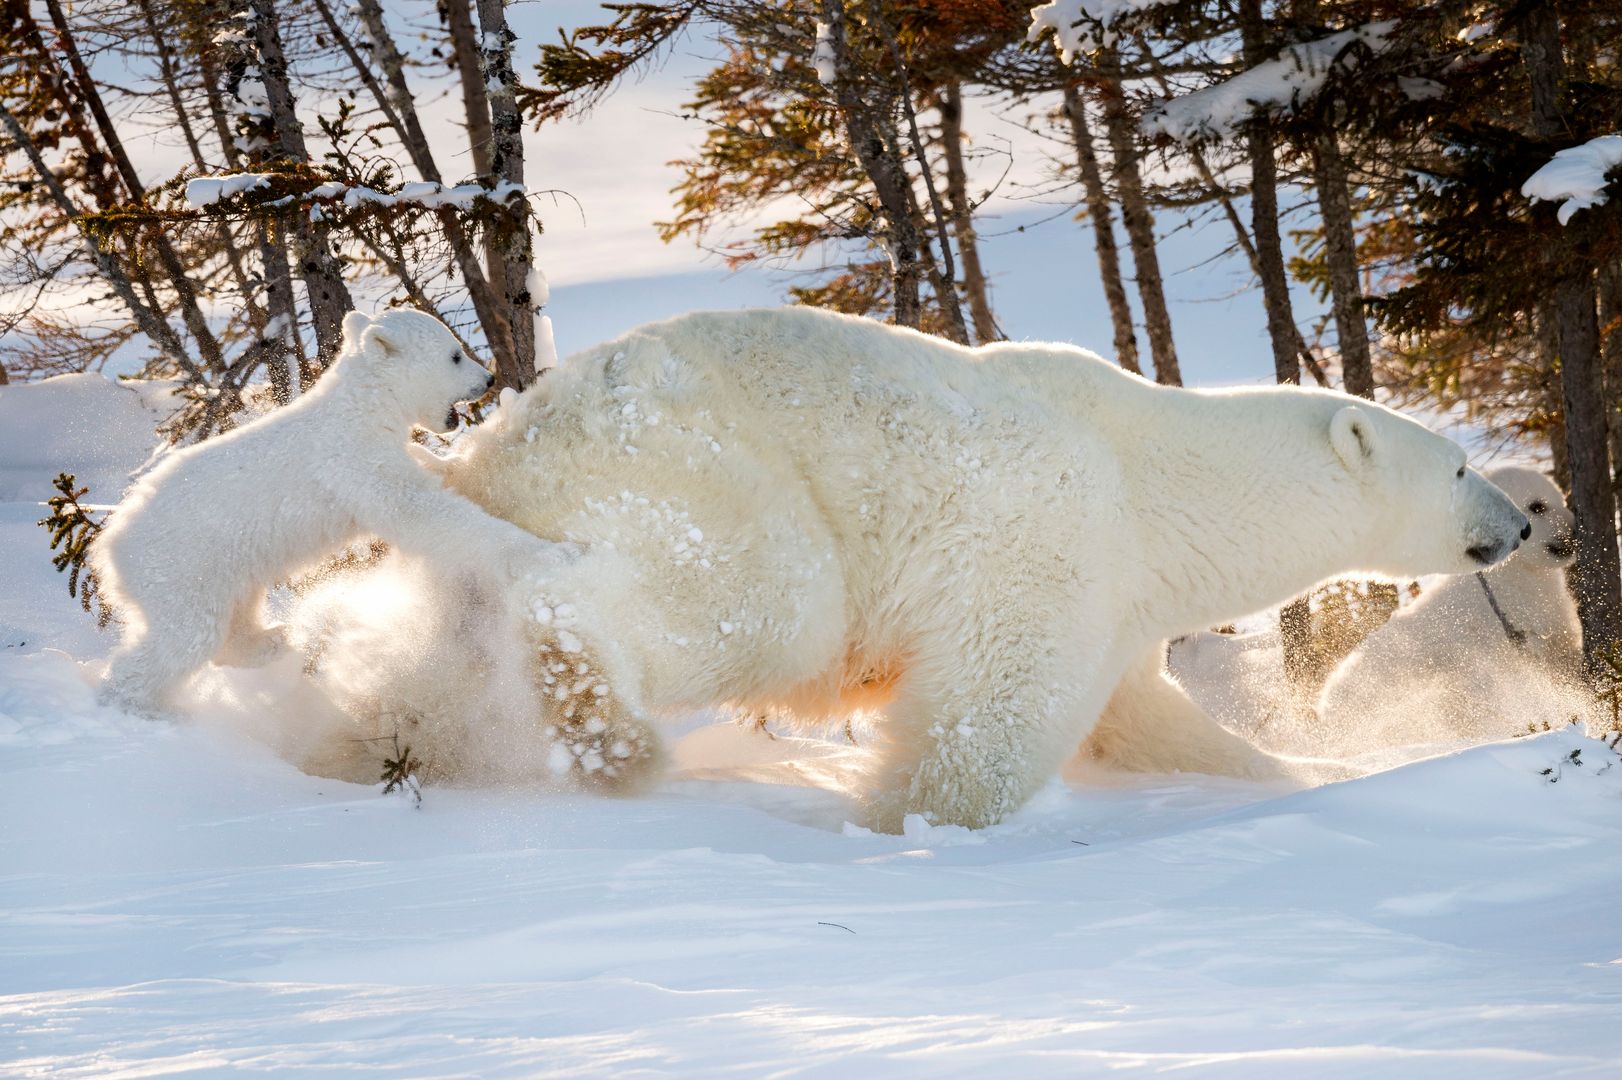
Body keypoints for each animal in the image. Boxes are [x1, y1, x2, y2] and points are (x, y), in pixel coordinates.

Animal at [98, 309, 564, 713]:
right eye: (454, 354)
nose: (488, 378)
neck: (361, 409)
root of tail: (109, 547)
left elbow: (425, 473)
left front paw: (446, 460)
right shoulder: (352, 461)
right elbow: (419, 511)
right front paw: (541, 553)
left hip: (225, 564)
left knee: (235, 614)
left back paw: (272, 639)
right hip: (179, 569)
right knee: (185, 638)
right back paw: (136, 706)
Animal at [405, 306, 1518, 827]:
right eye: (1460, 464)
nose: (1513, 526)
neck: (1156, 474)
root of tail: (497, 444)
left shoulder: (1124, 592)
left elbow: (1144, 721)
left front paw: (1307, 769)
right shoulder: (1049, 539)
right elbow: (993, 709)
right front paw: (913, 817)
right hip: (698, 467)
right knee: (759, 601)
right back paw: (604, 725)